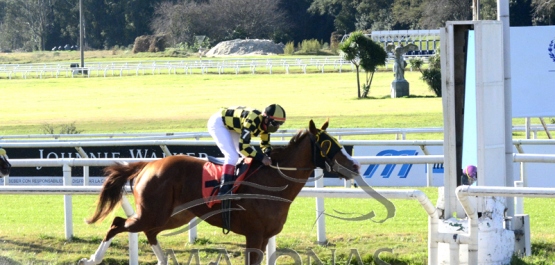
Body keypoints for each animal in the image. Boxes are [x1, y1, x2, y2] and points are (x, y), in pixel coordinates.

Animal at [80, 120, 362, 264]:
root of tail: (148, 165)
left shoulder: (264, 237)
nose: (355, 166)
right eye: (328, 144)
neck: (273, 180)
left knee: (149, 233)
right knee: (117, 223)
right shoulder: (254, 235)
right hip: (153, 212)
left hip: (174, 215)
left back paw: (164, 261)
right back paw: (92, 259)